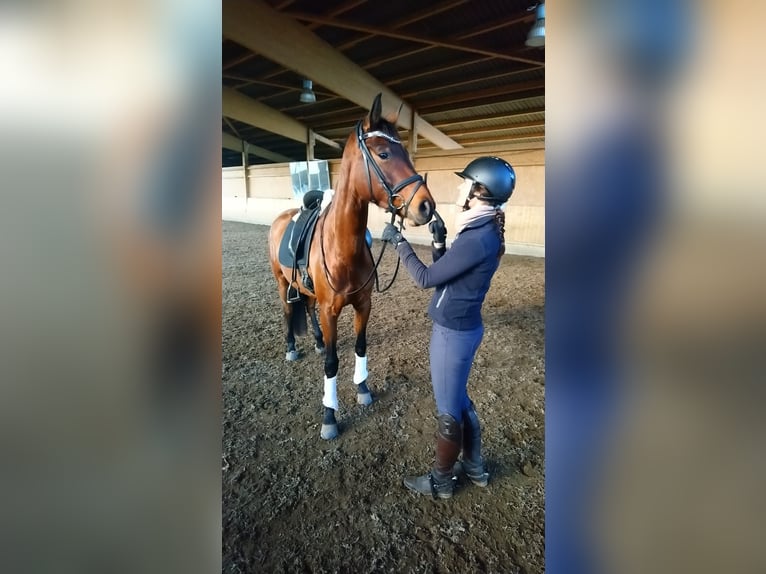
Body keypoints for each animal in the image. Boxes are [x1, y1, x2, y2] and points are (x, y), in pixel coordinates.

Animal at [268, 93, 438, 440]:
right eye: (384, 153)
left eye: (406, 152)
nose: (426, 205)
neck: (342, 246)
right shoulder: (331, 310)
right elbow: (332, 364)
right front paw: (329, 416)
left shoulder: (363, 304)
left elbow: (360, 347)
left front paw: (362, 389)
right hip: (282, 283)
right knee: (289, 311)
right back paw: (292, 347)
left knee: (306, 308)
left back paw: (317, 342)